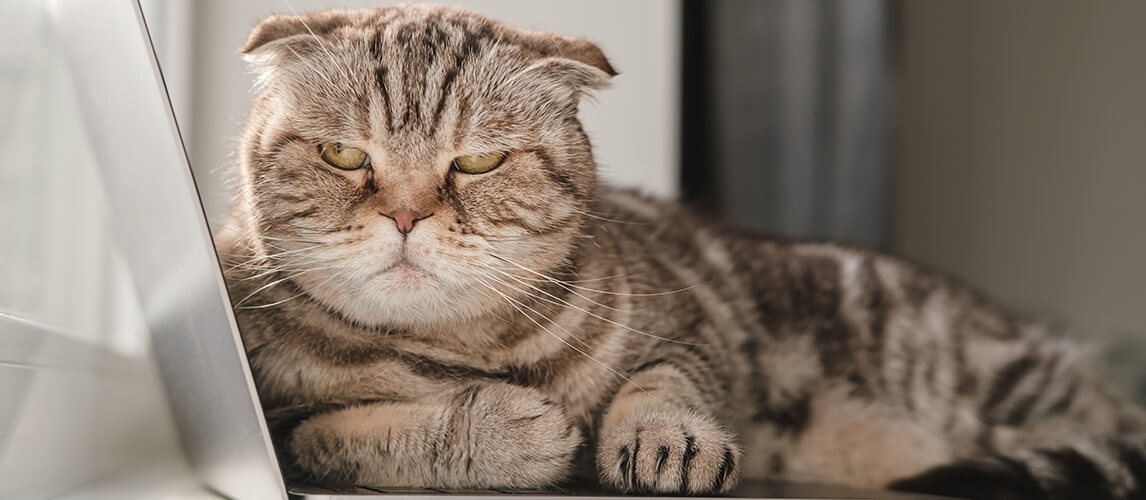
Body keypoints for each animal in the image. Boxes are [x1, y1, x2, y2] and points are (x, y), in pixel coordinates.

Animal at [215, 4, 1146, 499]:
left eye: (477, 163)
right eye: (344, 156)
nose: (406, 215)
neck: (463, 348)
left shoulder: (688, 323)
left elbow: (664, 384)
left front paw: (667, 442)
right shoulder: (281, 420)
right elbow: (354, 430)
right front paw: (509, 428)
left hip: (986, 383)